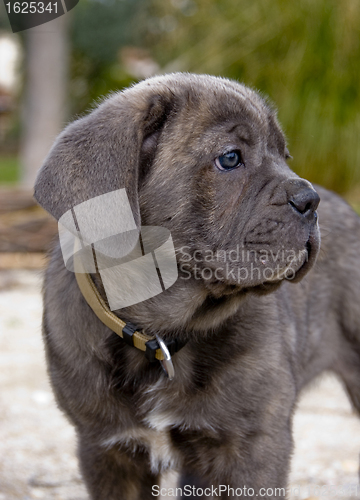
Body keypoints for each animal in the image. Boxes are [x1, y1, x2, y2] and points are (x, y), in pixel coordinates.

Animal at [33, 74, 360, 500]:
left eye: (284, 156)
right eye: (230, 159)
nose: (310, 199)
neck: (161, 336)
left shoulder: (251, 446)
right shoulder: (107, 448)